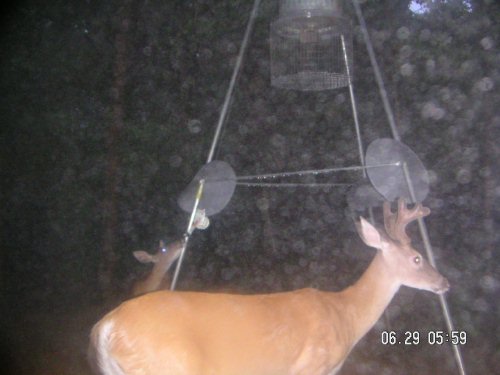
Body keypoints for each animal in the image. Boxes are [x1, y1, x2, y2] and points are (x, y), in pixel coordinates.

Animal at [90, 198, 450, 374]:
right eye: (417, 258)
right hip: (166, 366)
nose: (445, 282)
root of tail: (106, 326)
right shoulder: (310, 367)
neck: (344, 313)